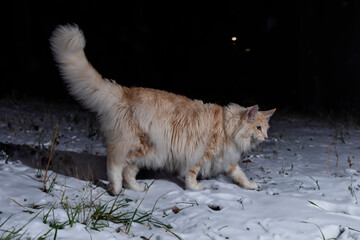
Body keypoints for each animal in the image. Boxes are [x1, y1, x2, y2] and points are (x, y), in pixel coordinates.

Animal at [50, 23, 276, 195]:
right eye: (258, 128)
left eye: (266, 129)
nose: (266, 138)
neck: (226, 127)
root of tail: (124, 91)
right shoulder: (199, 153)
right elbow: (192, 173)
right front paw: (194, 188)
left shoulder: (227, 160)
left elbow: (241, 176)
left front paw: (251, 186)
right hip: (132, 144)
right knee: (114, 164)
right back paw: (115, 189)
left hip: (145, 151)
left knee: (128, 172)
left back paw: (136, 188)